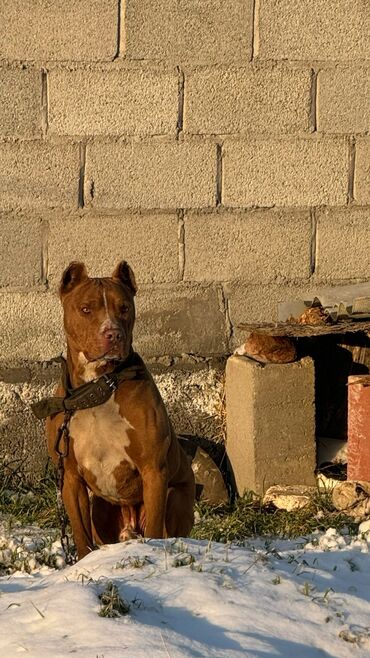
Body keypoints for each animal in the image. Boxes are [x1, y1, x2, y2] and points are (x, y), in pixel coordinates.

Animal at [47, 258, 194, 556]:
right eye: (86, 309)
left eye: (124, 308)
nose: (113, 333)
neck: (99, 387)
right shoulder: (71, 479)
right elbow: (80, 534)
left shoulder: (154, 471)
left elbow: (155, 529)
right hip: (101, 510)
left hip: (176, 497)